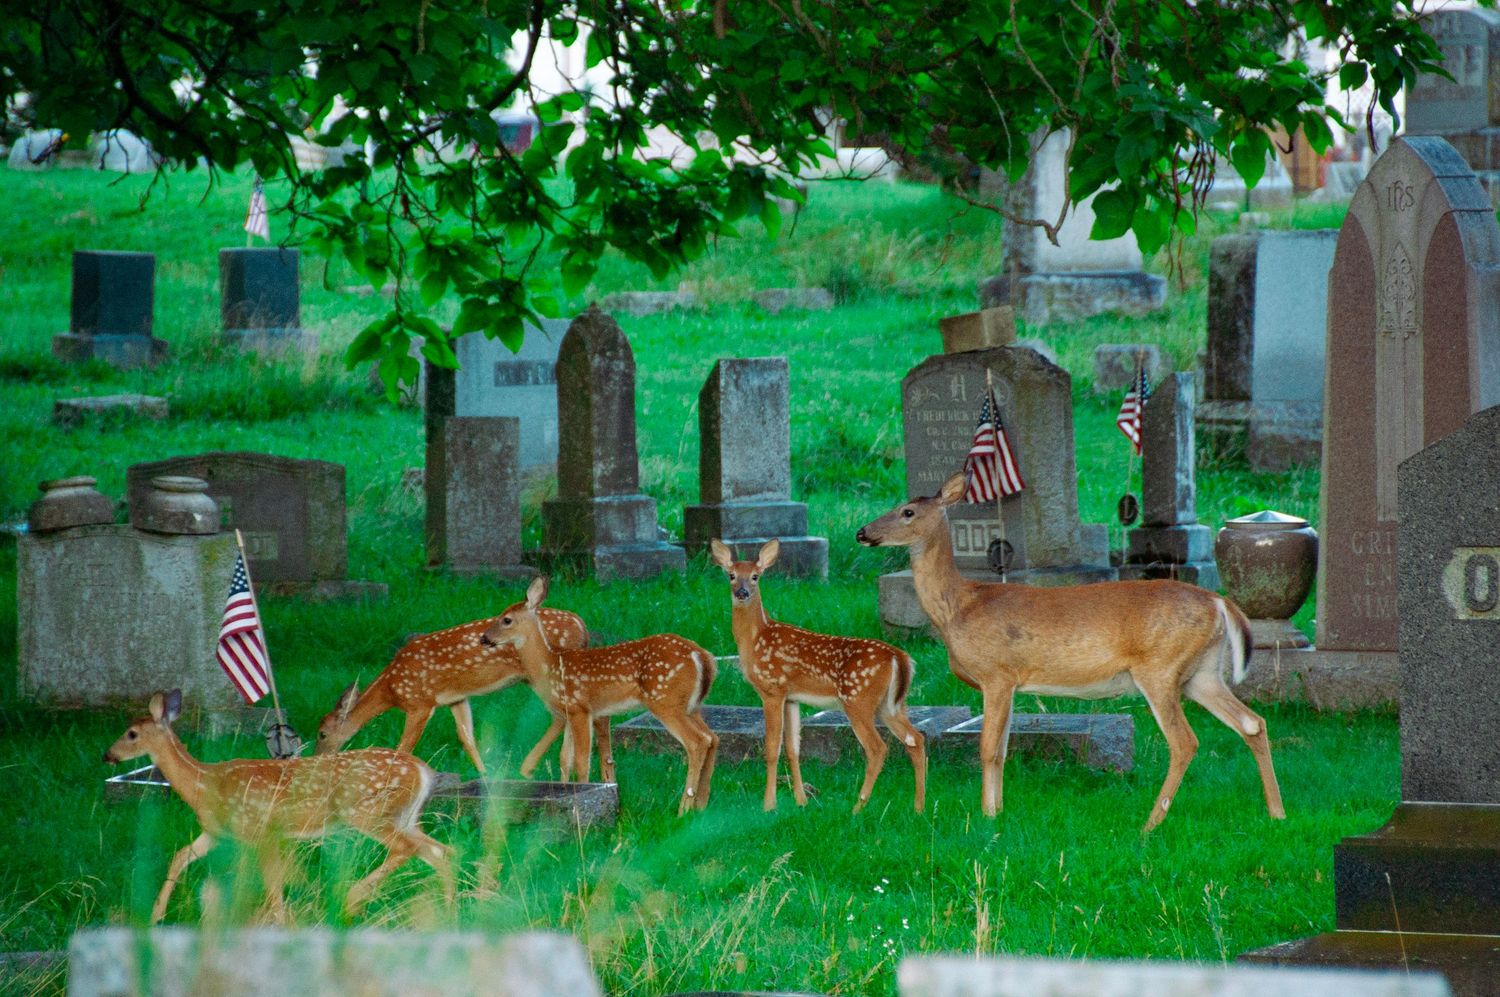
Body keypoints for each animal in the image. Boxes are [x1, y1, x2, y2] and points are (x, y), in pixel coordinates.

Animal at [104, 689, 452, 922]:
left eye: (131, 733)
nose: (108, 755)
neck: (204, 784)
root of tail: (423, 770)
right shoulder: (217, 833)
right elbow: (182, 857)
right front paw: (156, 916)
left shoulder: (260, 829)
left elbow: (271, 881)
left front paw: (279, 922)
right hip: (405, 816)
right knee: (439, 850)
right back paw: (450, 908)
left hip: (367, 812)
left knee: (409, 848)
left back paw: (352, 897)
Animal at [314, 610, 618, 780]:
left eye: (322, 734)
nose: (317, 759)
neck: (391, 688)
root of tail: (581, 625)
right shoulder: (456, 698)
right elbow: (466, 737)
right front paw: (483, 775)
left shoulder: (421, 702)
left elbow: (404, 746)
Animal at [480, 576, 720, 815]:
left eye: (506, 620)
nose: (484, 638)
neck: (550, 664)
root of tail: (702, 656)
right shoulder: (569, 713)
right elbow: (564, 758)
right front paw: (566, 791)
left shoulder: (580, 707)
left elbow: (581, 760)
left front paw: (582, 796)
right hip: (692, 705)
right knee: (712, 737)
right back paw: (701, 805)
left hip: (665, 701)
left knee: (697, 741)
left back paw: (684, 808)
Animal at [710, 538, 927, 813]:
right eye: (731, 575)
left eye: (755, 576)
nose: (742, 593)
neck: (755, 638)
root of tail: (900, 658)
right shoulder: (792, 697)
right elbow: (793, 747)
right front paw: (801, 801)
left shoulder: (772, 689)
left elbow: (772, 747)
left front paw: (768, 805)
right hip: (891, 705)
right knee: (915, 739)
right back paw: (918, 807)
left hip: (858, 699)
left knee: (878, 748)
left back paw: (857, 808)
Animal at [856, 472, 1285, 832]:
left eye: (908, 511)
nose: (862, 532)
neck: (959, 607)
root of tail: (1219, 602)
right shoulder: (1010, 684)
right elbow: (1003, 749)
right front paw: (998, 812)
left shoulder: (996, 674)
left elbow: (987, 748)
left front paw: (985, 815)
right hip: (1202, 673)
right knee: (1252, 723)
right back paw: (1276, 812)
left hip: (1160, 668)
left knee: (1185, 742)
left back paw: (1149, 825)